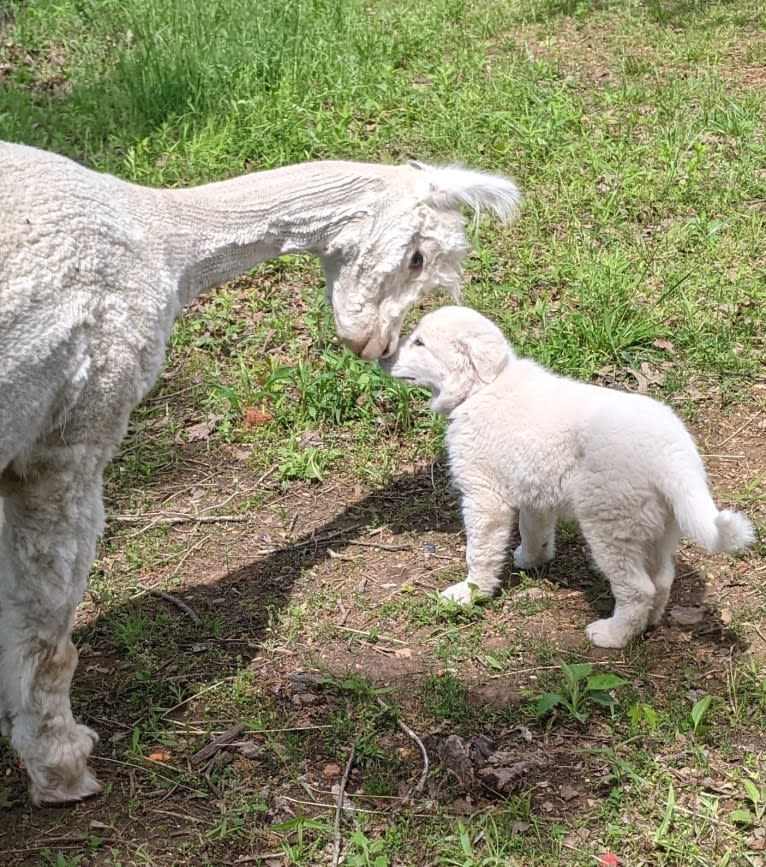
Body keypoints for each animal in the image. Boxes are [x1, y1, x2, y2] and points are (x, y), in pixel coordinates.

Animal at [384, 308, 756, 648]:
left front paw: (470, 593)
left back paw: (613, 635)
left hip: (609, 525)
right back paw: (647, 624)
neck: (483, 387)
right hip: (660, 527)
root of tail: (673, 456)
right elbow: (534, 532)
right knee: (663, 579)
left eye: (419, 342)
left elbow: (480, 552)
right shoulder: (534, 492)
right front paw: (530, 560)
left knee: (638, 589)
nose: (383, 357)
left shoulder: (484, 497)